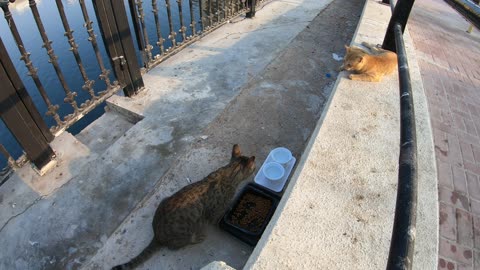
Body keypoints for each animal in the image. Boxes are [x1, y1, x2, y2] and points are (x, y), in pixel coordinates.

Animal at [111, 144, 255, 268]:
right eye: (253, 167)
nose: (255, 168)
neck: (229, 172)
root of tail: (157, 234)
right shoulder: (214, 213)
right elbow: (219, 217)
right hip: (186, 233)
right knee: (178, 244)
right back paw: (197, 238)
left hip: (164, 200)